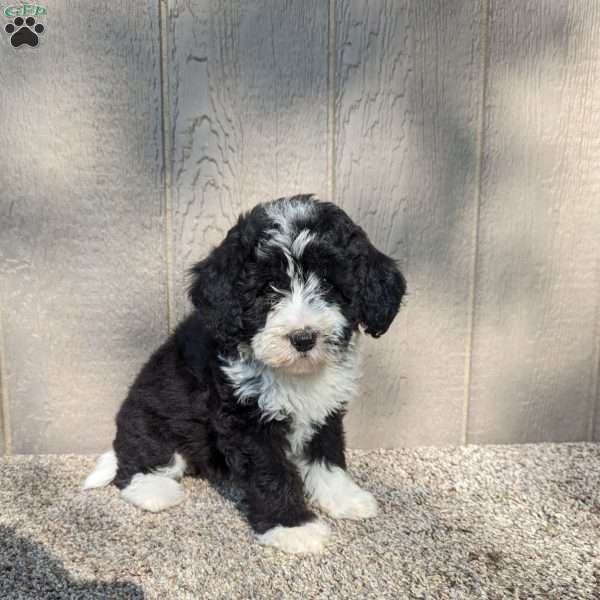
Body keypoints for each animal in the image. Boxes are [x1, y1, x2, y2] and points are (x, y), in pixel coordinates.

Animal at [84, 196, 406, 552]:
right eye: (268, 289)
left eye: (328, 283)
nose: (303, 338)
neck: (293, 373)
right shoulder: (246, 420)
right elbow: (271, 473)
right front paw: (291, 526)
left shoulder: (325, 412)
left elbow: (328, 455)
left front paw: (342, 497)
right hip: (152, 423)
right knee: (134, 466)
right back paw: (155, 491)